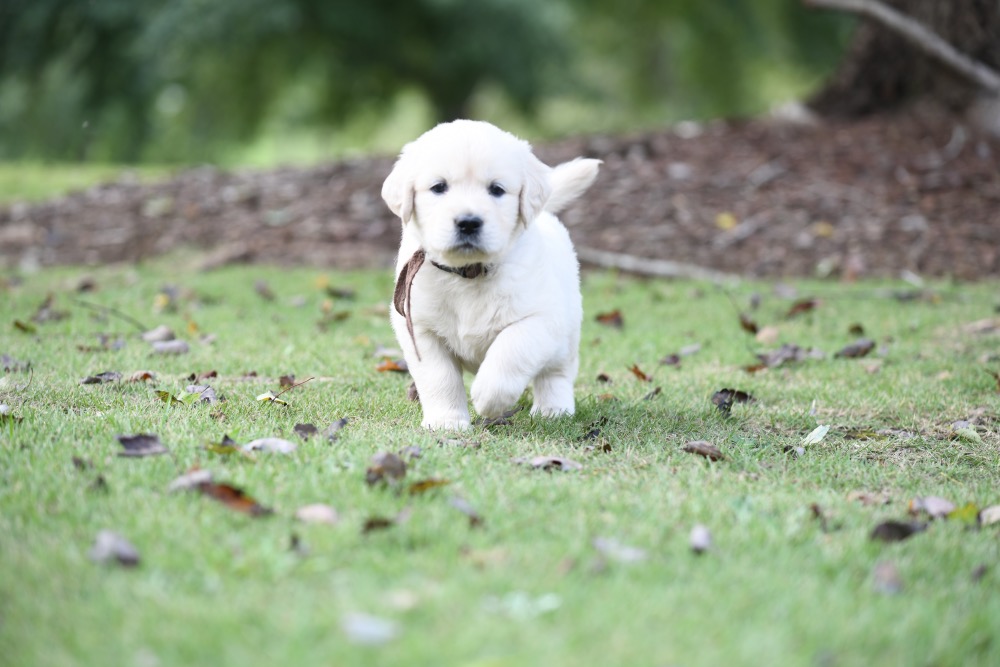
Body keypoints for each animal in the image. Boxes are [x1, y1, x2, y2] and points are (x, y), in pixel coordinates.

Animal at [382, 120, 600, 430]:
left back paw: (553, 409)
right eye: (438, 187)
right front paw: (446, 422)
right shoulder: (419, 328)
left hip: (566, 334)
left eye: (496, 189)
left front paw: (488, 399)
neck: (468, 272)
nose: (468, 222)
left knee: (556, 373)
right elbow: (439, 377)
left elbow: (511, 351)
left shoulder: (540, 318)